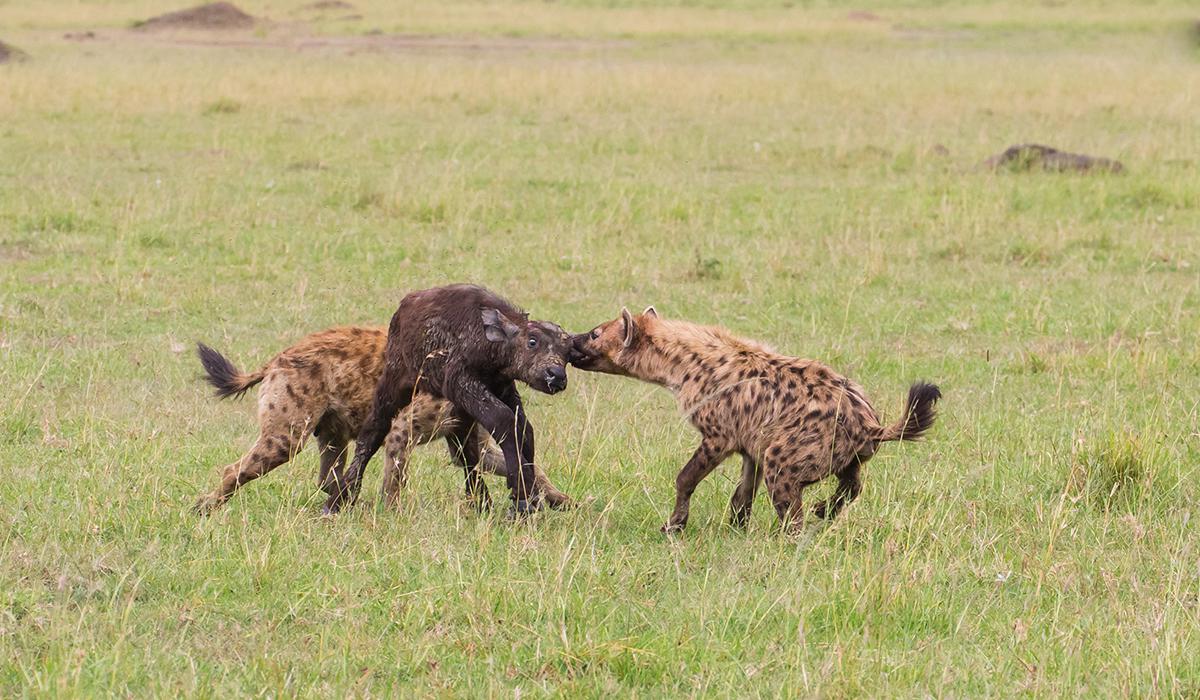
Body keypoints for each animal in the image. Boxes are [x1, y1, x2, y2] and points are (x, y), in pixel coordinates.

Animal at [192, 326, 571, 513]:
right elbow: (395, 480)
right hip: (288, 434)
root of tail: (276, 359)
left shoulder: (466, 435)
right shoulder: (403, 428)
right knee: (235, 469)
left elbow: (526, 468)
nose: (558, 377)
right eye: (535, 344)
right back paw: (204, 507)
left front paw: (562, 500)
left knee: (328, 475)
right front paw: (392, 515)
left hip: (332, 433)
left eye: (565, 353)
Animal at [566, 307, 940, 537]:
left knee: (793, 510)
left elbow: (685, 477)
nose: (570, 338)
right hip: (844, 454)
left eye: (595, 333)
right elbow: (743, 491)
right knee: (852, 484)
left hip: (786, 456)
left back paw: (791, 535)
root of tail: (871, 422)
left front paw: (674, 525)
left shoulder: (720, 435)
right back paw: (823, 509)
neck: (680, 364)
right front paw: (735, 526)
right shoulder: (751, 441)